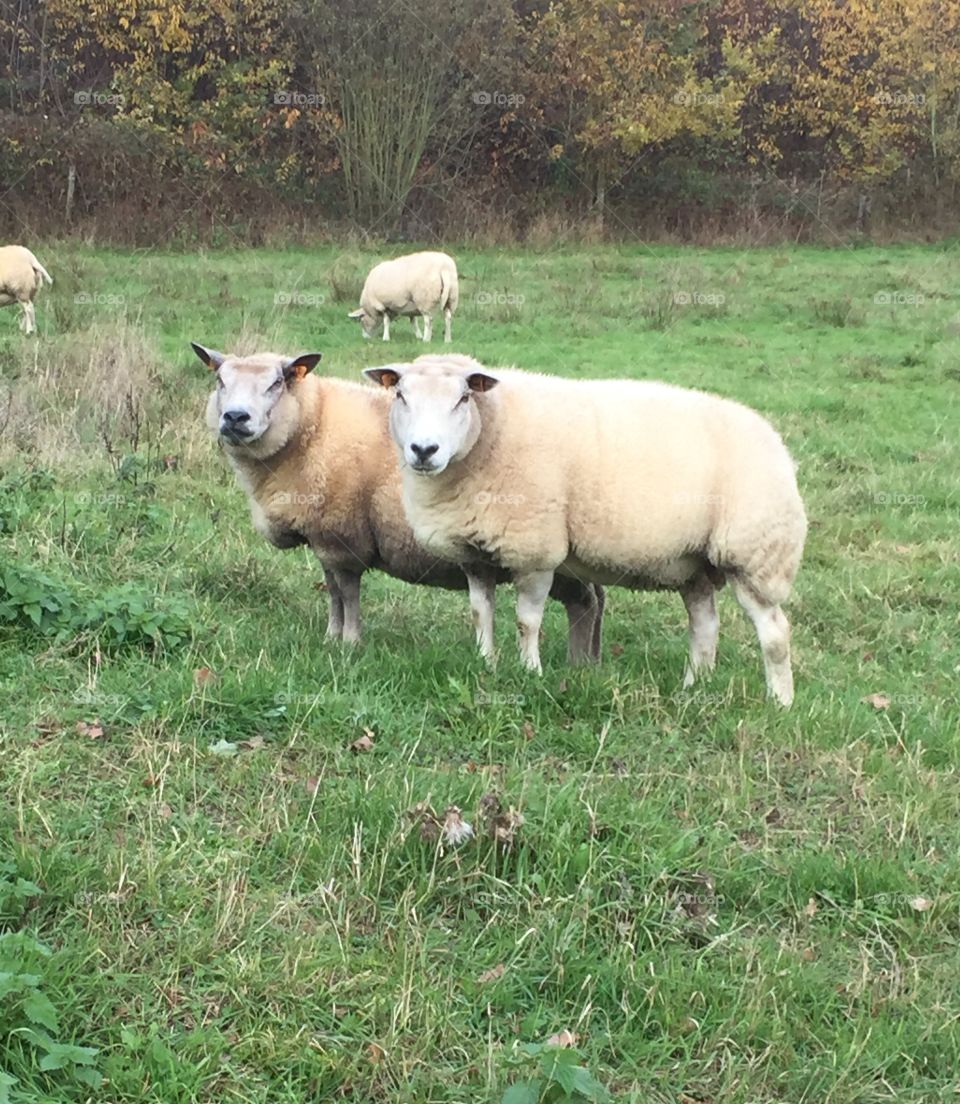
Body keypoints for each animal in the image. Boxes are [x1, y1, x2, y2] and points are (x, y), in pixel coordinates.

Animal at [192, 343, 604, 661]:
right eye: (220, 380)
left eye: (276, 383)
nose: (235, 417)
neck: (312, 428)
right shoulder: (324, 540)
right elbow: (333, 593)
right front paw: (331, 637)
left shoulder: (343, 539)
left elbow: (347, 593)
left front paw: (349, 643)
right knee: (593, 600)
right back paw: (588, 664)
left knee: (585, 602)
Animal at [365, 354, 807, 707]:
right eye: (400, 395)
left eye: (463, 398)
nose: (424, 450)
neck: (492, 432)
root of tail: (778, 446)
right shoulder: (476, 555)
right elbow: (480, 614)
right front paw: (486, 662)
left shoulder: (536, 550)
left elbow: (527, 621)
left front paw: (529, 671)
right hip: (693, 564)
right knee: (705, 626)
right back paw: (694, 687)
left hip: (755, 553)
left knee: (775, 632)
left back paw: (781, 702)